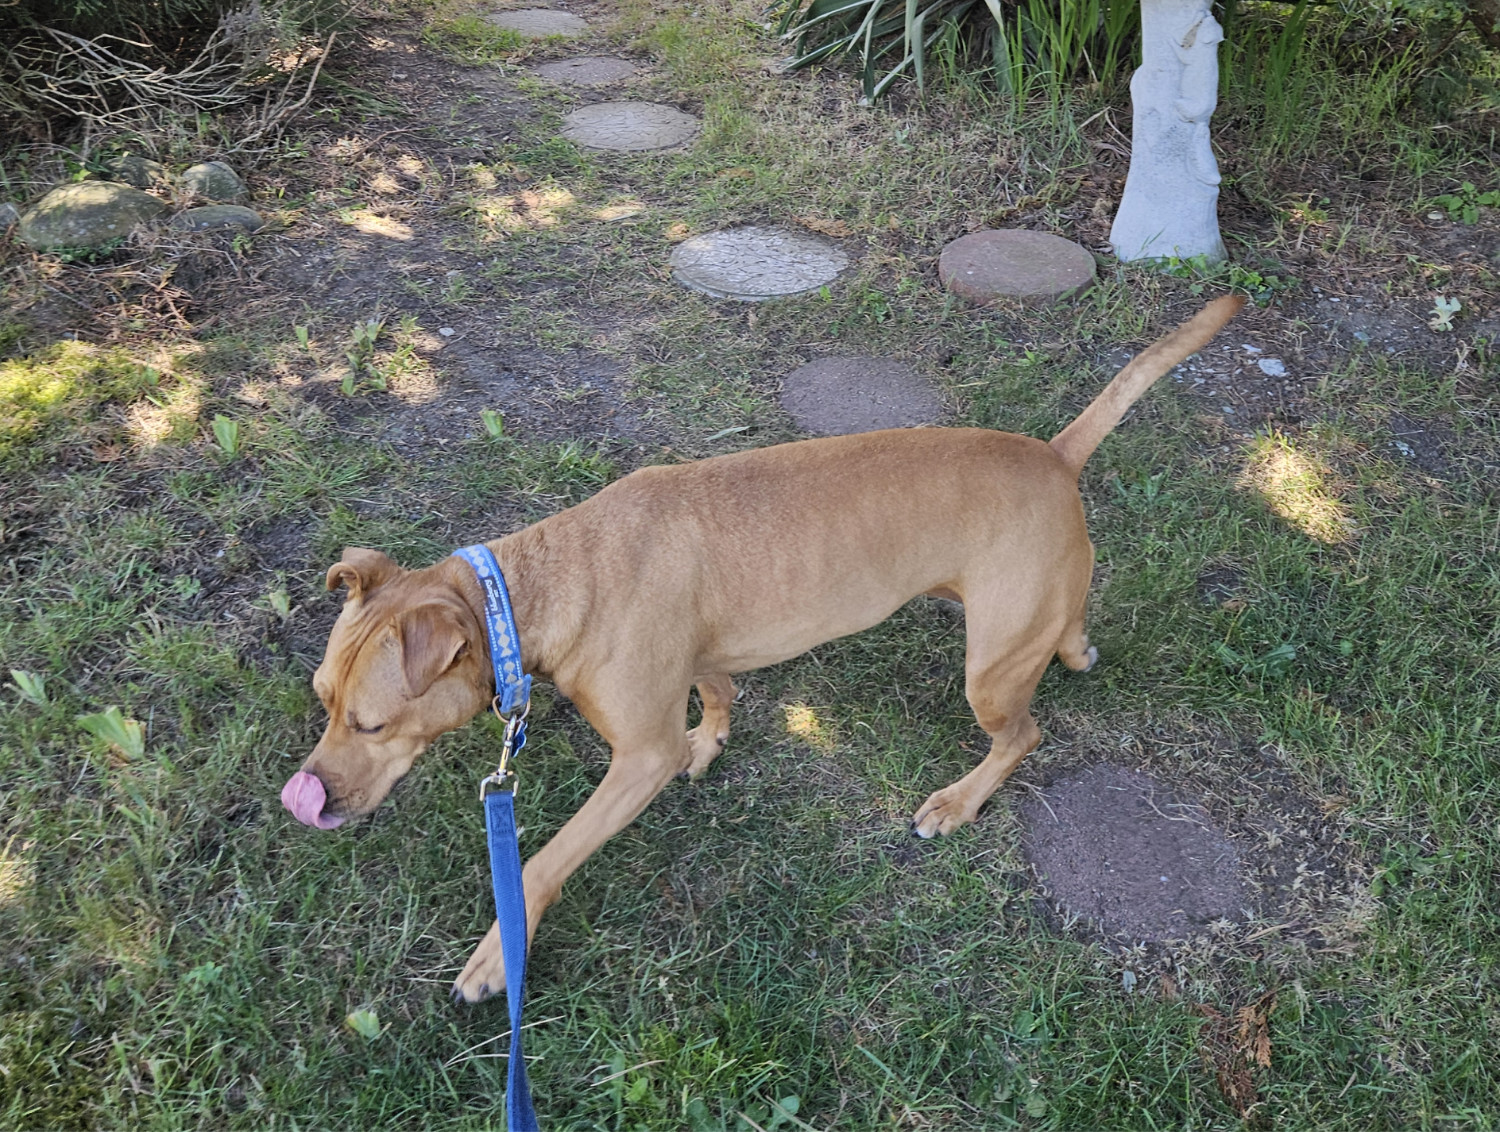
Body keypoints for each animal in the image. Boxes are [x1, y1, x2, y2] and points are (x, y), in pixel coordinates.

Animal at [279, 292, 1242, 1001]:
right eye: (324, 702)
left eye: (370, 725)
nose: (307, 801)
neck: (539, 592)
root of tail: (1053, 454)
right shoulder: (701, 659)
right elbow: (718, 696)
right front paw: (711, 742)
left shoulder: (635, 760)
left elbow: (543, 863)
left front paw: (495, 956)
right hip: (1029, 615)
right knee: (1067, 631)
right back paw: (1074, 651)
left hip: (988, 674)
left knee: (1023, 734)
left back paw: (959, 801)